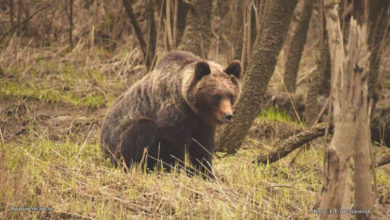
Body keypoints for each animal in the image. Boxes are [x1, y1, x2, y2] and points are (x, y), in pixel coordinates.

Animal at [100, 50, 241, 176]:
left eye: (230, 95)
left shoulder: (201, 122)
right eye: (217, 96)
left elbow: (202, 147)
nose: (228, 115)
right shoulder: (173, 114)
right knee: (142, 128)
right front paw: (181, 169)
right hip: (116, 140)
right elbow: (173, 146)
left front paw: (207, 172)